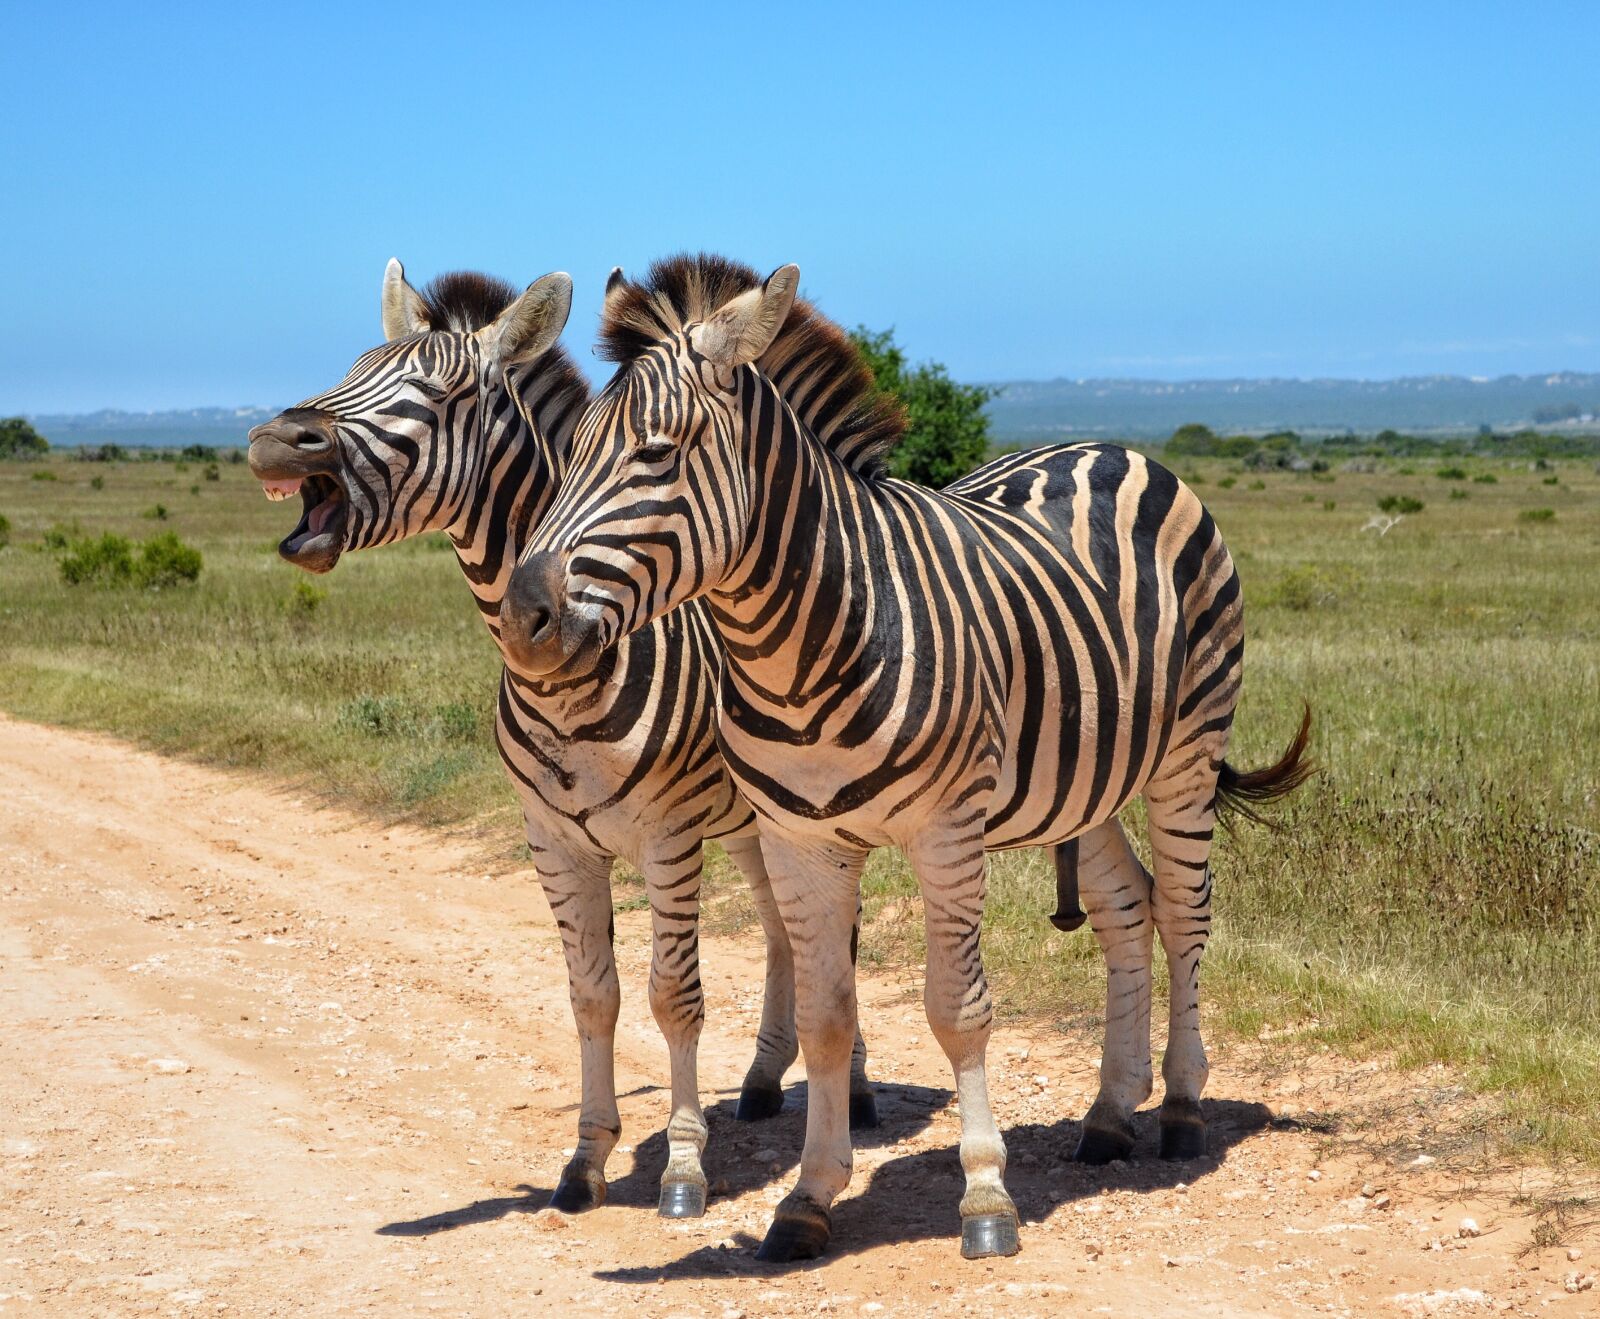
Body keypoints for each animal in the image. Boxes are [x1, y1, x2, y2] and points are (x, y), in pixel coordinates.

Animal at [244, 259, 878, 1221]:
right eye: (353, 366)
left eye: (441, 394)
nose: (279, 441)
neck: (569, 677)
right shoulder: (553, 840)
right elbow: (592, 996)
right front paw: (585, 1159)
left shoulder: (666, 836)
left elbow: (672, 995)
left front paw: (683, 1168)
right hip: (749, 821)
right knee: (781, 931)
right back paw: (767, 1078)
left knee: (835, 938)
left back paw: (861, 1092)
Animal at [500, 253, 1313, 1261]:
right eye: (569, 453)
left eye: (657, 452)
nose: (523, 617)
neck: (802, 644)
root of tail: (1116, 448)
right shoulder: (802, 841)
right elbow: (826, 1017)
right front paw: (807, 1196)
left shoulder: (947, 833)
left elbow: (956, 1011)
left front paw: (986, 1198)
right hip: (1086, 776)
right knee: (1129, 912)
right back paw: (1109, 1113)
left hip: (1187, 755)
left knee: (1187, 914)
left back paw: (1183, 1106)